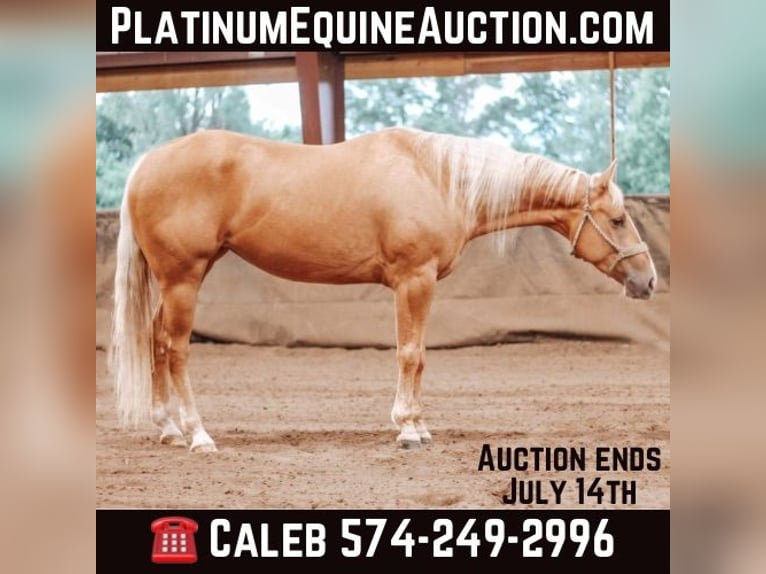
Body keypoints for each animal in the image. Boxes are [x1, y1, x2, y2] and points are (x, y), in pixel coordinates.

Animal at [110, 127, 657, 452]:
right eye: (618, 218)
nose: (648, 279)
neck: (436, 177)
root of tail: (146, 164)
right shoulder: (414, 279)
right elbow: (410, 353)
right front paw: (409, 428)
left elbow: (418, 355)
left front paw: (417, 424)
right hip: (184, 279)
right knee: (176, 350)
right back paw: (198, 434)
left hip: (176, 282)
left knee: (156, 342)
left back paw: (167, 428)